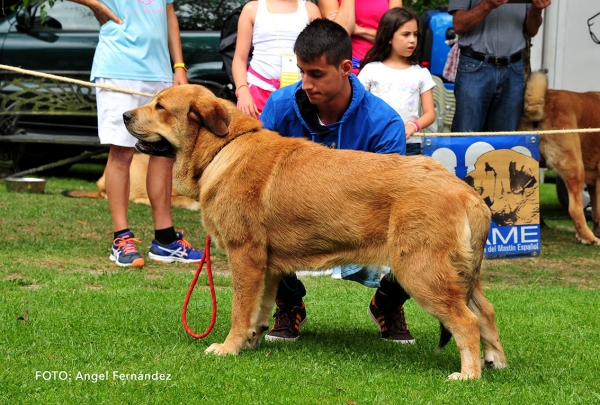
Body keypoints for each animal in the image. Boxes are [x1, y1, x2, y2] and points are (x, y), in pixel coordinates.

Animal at [124, 83, 504, 380]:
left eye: (159, 106)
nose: (126, 115)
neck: (223, 147)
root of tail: (468, 194)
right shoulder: (268, 266)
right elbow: (259, 309)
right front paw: (251, 341)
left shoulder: (244, 255)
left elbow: (239, 309)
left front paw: (229, 347)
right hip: (457, 275)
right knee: (486, 311)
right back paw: (494, 362)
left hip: (419, 271)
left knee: (467, 322)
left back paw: (468, 374)